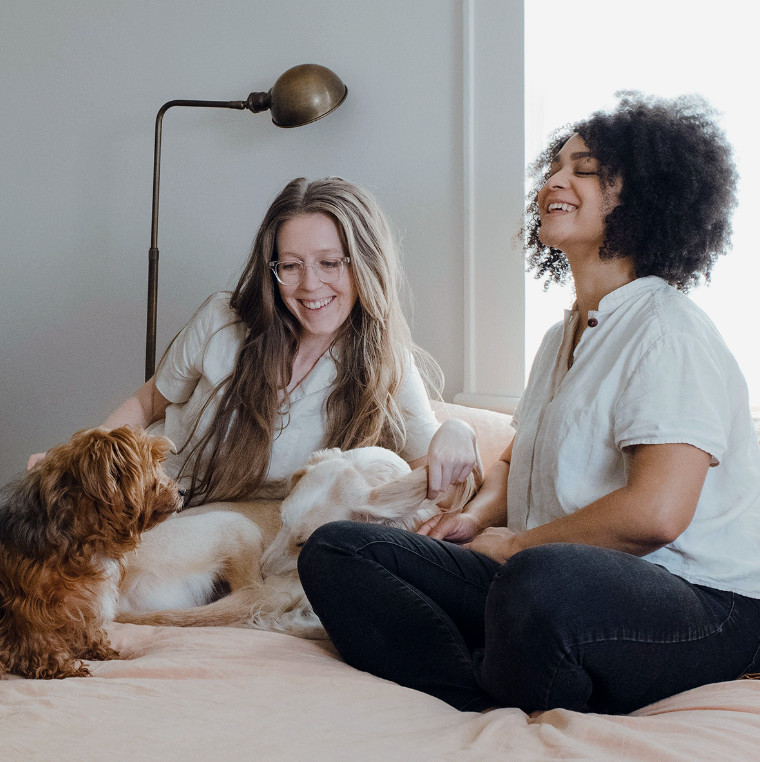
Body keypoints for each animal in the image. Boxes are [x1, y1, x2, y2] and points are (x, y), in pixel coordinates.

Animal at [0, 424, 183, 680]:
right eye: (152, 463)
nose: (183, 491)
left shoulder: (84, 595)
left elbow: (86, 623)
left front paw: (98, 649)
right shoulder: (30, 602)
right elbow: (39, 634)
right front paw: (58, 665)